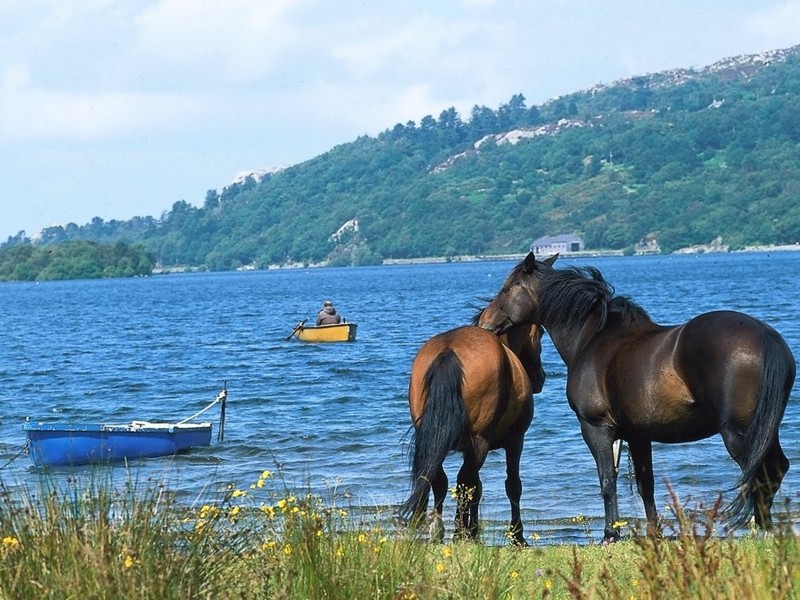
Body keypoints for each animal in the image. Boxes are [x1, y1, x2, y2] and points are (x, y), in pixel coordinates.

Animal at [398, 322, 544, 548]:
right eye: (540, 335)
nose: (540, 378)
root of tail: (448, 350)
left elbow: (476, 488)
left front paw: (473, 530)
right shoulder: (515, 441)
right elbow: (512, 486)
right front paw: (517, 536)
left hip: (434, 441)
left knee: (440, 480)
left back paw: (439, 530)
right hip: (480, 442)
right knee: (464, 482)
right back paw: (458, 532)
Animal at [478, 251, 796, 540]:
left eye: (508, 287)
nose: (486, 323)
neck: (594, 339)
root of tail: (766, 337)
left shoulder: (596, 428)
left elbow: (607, 479)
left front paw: (610, 533)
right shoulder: (638, 435)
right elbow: (646, 485)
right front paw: (653, 534)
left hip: (738, 433)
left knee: (761, 472)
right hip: (765, 429)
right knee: (775, 469)